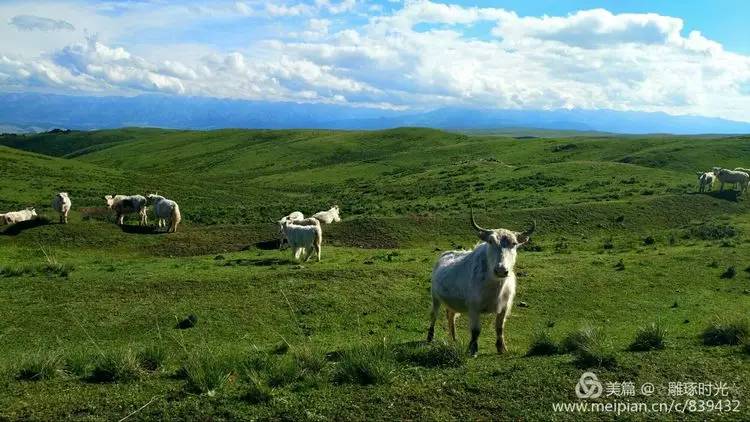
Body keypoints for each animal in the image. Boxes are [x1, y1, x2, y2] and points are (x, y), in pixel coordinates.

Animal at [426, 210, 536, 356]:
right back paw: (430, 338)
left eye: (514, 243)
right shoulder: (474, 308)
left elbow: (499, 328)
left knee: (451, 316)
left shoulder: (504, 307)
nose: (501, 270)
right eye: (490, 241)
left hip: (452, 302)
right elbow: (476, 331)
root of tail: (446, 254)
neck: (495, 285)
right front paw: (472, 350)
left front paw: (502, 348)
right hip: (435, 297)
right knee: (434, 315)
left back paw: (454, 339)